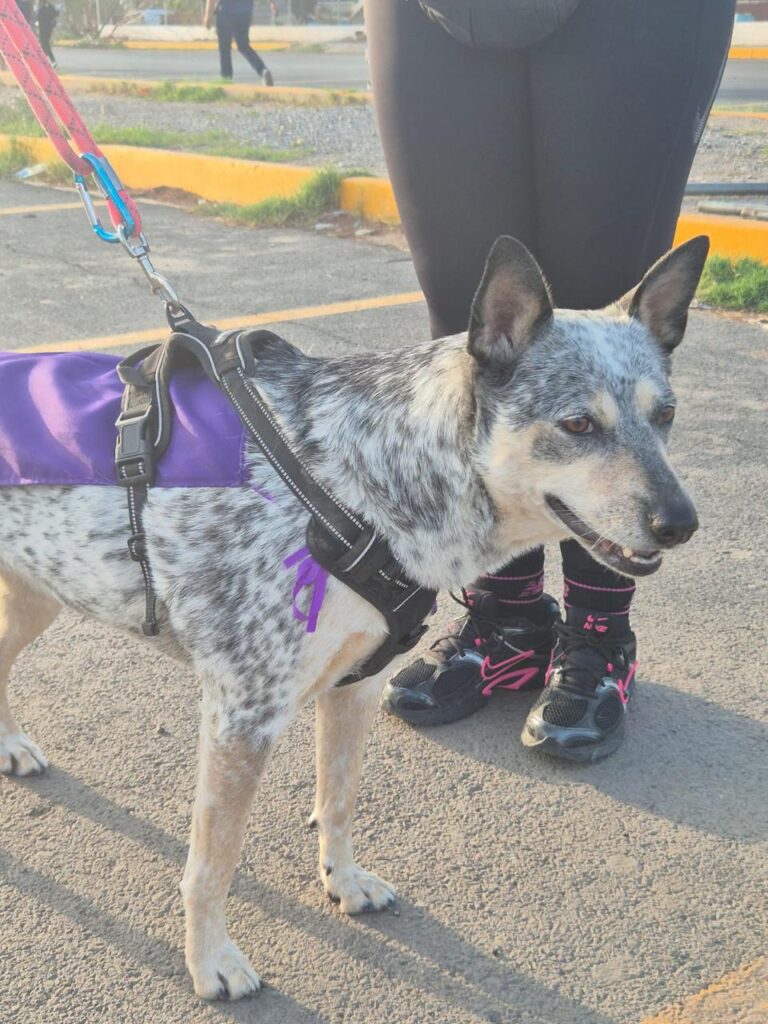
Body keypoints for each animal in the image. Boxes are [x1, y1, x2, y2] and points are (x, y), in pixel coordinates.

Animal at [0, 234, 705, 999]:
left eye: (665, 416)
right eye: (578, 424)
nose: (681, 524)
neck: (358, 478)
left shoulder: (355, 686)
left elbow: (337, 800)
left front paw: (343, 880)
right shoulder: (242, 716)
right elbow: (213, 862)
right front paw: (209, 959)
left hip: (36, 594)